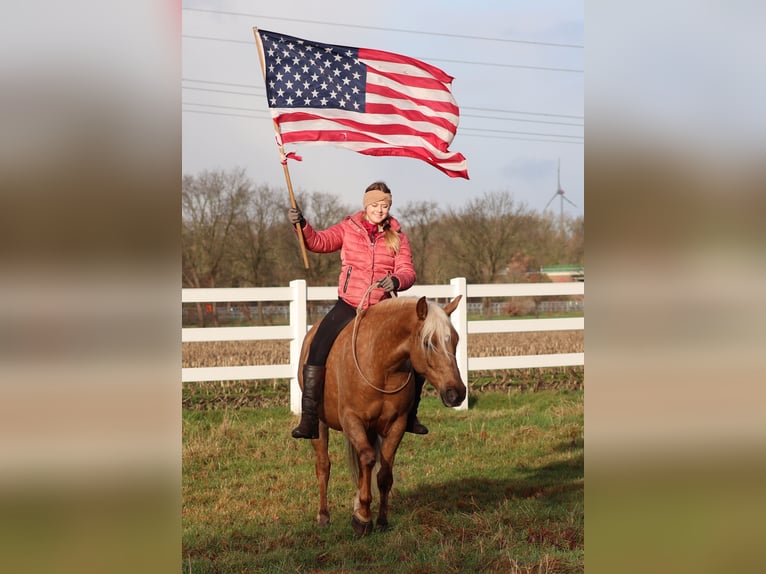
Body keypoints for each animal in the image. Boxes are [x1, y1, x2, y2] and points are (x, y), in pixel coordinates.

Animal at [298, 294, 468, 536]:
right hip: (321, 426)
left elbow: (384, 473)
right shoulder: (352, 420)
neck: (382, 366)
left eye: (455, 340)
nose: (457, 393)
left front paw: (378, 519)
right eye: (428, 342)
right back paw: (323, 516)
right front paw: (362, 519)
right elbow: (368, 460)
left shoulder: (397, 425)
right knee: (324, 466)